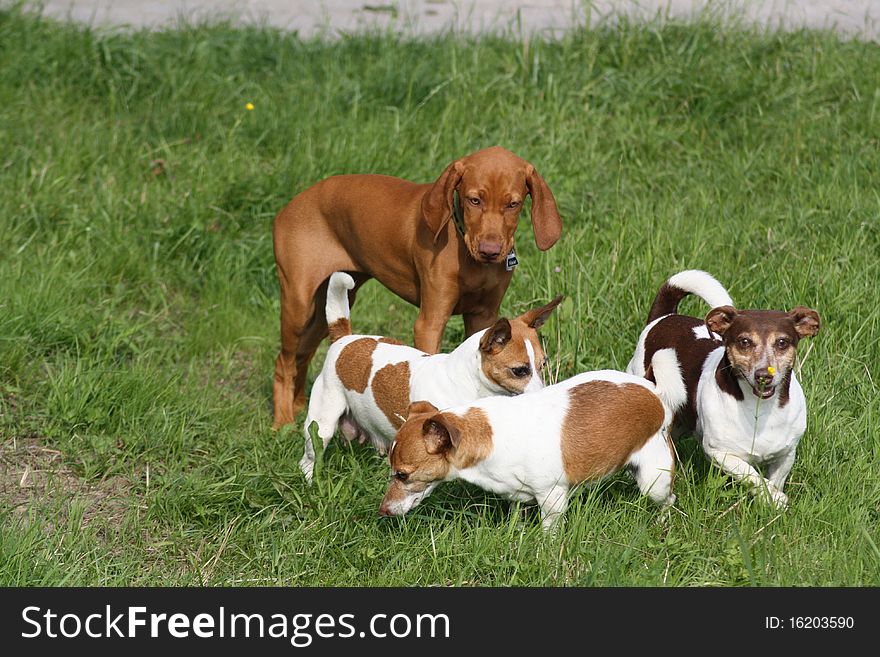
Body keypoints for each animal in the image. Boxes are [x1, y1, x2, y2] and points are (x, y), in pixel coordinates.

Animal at [272, 145, 564, 428]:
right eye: (474, 200)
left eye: (513, 204)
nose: (490, 251)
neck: (467, 254)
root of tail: (294, 202)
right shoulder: (430, 321)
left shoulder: (484, 316)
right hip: (298, 303)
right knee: (284, 362)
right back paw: (282, 421)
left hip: (330, 306)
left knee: (304, 353)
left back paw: (298, 405)